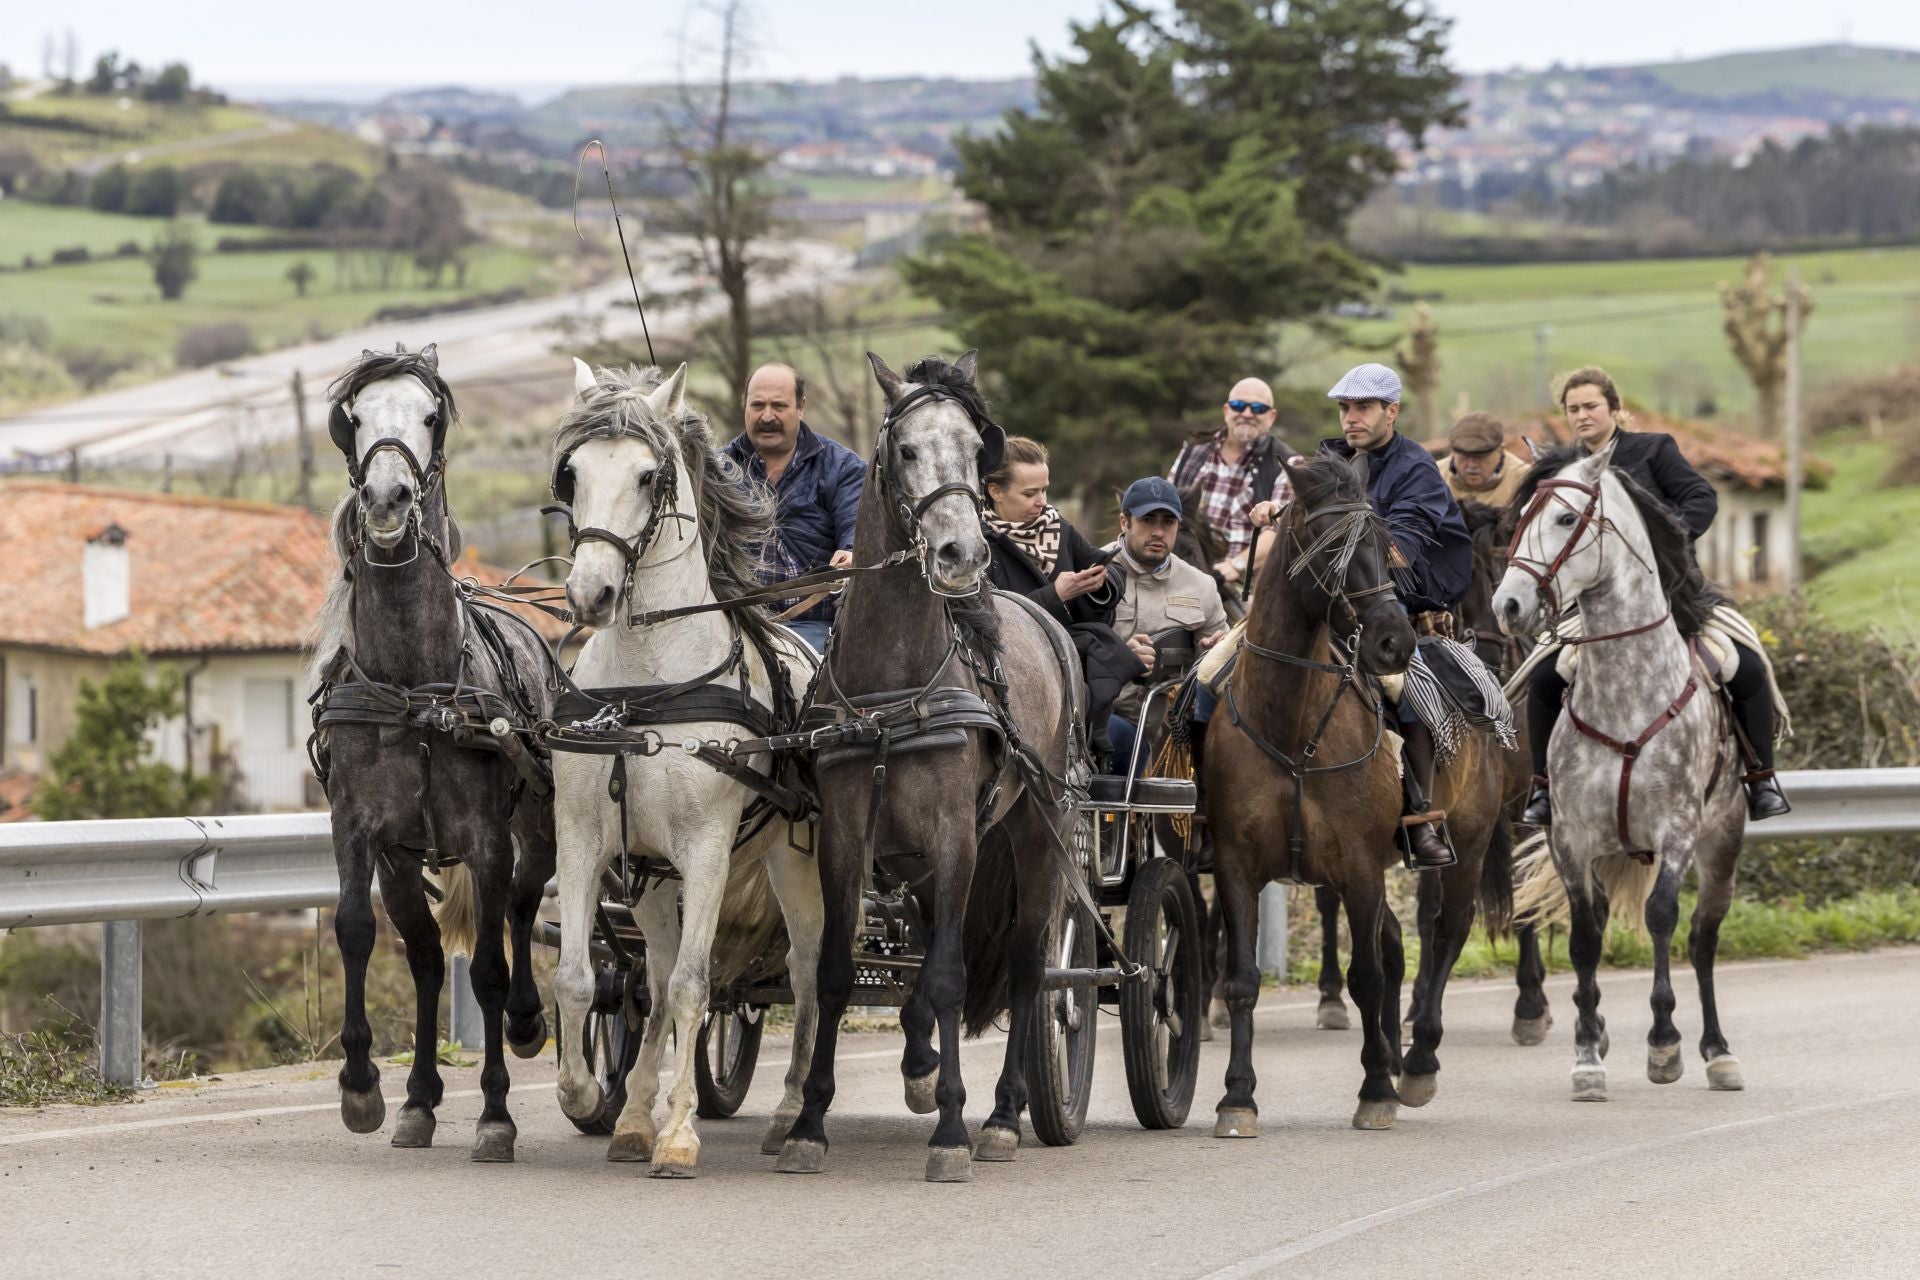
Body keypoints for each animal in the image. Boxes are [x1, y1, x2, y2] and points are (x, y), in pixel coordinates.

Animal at [307, 345, 560, 1166]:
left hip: (538, 829)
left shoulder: (484, 839)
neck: (417, 688)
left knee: (521, 909)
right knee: (422, 955)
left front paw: (496, 1115)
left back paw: (527, 1019)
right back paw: (419, 1097)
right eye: (353, 419)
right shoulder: (364, 832)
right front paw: (365, 1088)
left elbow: (485, 967)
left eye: (430, 415)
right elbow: (362, 933)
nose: (387, 500)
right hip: (408, 859)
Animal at [552, 355, 829, 1174]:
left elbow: (692, 988)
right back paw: (632, 1114)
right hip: (649, 879)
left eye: (649, 476)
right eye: (572, 474)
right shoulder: (585, 840)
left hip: (795, 862)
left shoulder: (706, 850)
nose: (591, 593)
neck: (648, 684)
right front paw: (589, 1095)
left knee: (806, 975)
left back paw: (794, 1112)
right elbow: (581, 979)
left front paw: (678, 1135)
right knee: (647, 975)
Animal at [771, 353, 1090, 1189]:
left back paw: (1005, 1117)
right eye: (907, 450)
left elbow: (948, 976)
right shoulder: (849, 838)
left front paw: (950, 1132)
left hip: (1037, 833)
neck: (895, 684)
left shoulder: (954, 836)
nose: (962, 556)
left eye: (977, 452)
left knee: (1028, 966)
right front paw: (809, 1124)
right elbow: (835, 972)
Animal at [1213, 452, 1512, 1128]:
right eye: (1330, 550)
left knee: (1445, 934)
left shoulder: (1358, 867)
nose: (1393, 642)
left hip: (1466, 844)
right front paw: (1237, 1096)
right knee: (1404, 946)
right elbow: (1242, 980)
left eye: (1386, 546)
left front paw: (1375, 1087)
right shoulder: (1237, 865)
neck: (1290, 725)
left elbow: (1368, 977)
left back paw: (1418, 1062)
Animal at [1489, 441, 1751, 1105]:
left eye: (1565, 518)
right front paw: (1586, 1056)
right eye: (1519, 518)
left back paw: (1718, 1052)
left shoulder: (1677, 832)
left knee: (1703, 939)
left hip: (1723, 841)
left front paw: (1665, 1043)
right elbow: (1585, 936)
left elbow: (1662, 918)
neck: (1626, 690)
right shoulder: (1570, 837)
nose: (1508, 605)